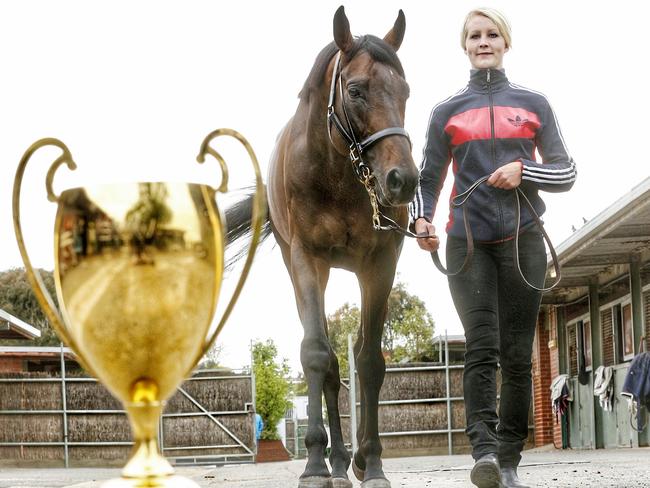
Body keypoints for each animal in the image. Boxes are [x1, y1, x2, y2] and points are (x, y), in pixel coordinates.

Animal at [228, 7, 418, 488]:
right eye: (355, 90)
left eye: (405, 91)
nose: (403, 180)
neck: (337, 175)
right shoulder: (308, 260)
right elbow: (316, 355)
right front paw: (315, 463)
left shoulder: (379, 265)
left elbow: (369, 362)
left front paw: (373, 463)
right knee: (329, 364)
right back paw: (335, 461)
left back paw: (354, 459)